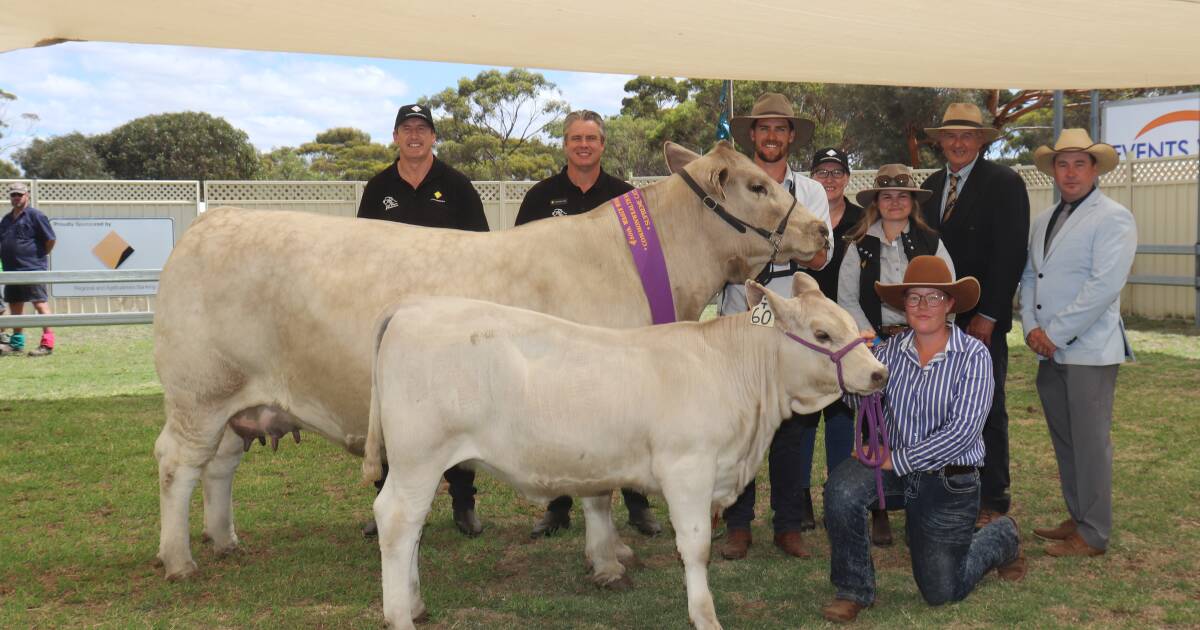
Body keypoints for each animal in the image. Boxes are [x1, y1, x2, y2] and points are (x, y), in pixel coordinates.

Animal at [152, 141, 835, 580]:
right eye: (757, 185)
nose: (824, 231)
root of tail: (210, 224)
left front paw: (615, 554)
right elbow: (597, 493)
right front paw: (607, 562)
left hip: (238, 400)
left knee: (219, 467)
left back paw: (224, 541)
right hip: (200, 392)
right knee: (177, 465)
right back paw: (180, 560)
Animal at [362, 273, 883, 628]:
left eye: (849, 323)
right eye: (822, 334)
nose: (878, 373)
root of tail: (412, 307)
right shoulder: (687, 468)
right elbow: (695, 547)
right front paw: (704, 615)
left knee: (411, 528)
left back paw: (415, 603)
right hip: (418, 457)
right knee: (397, 520)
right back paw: (400, 615)